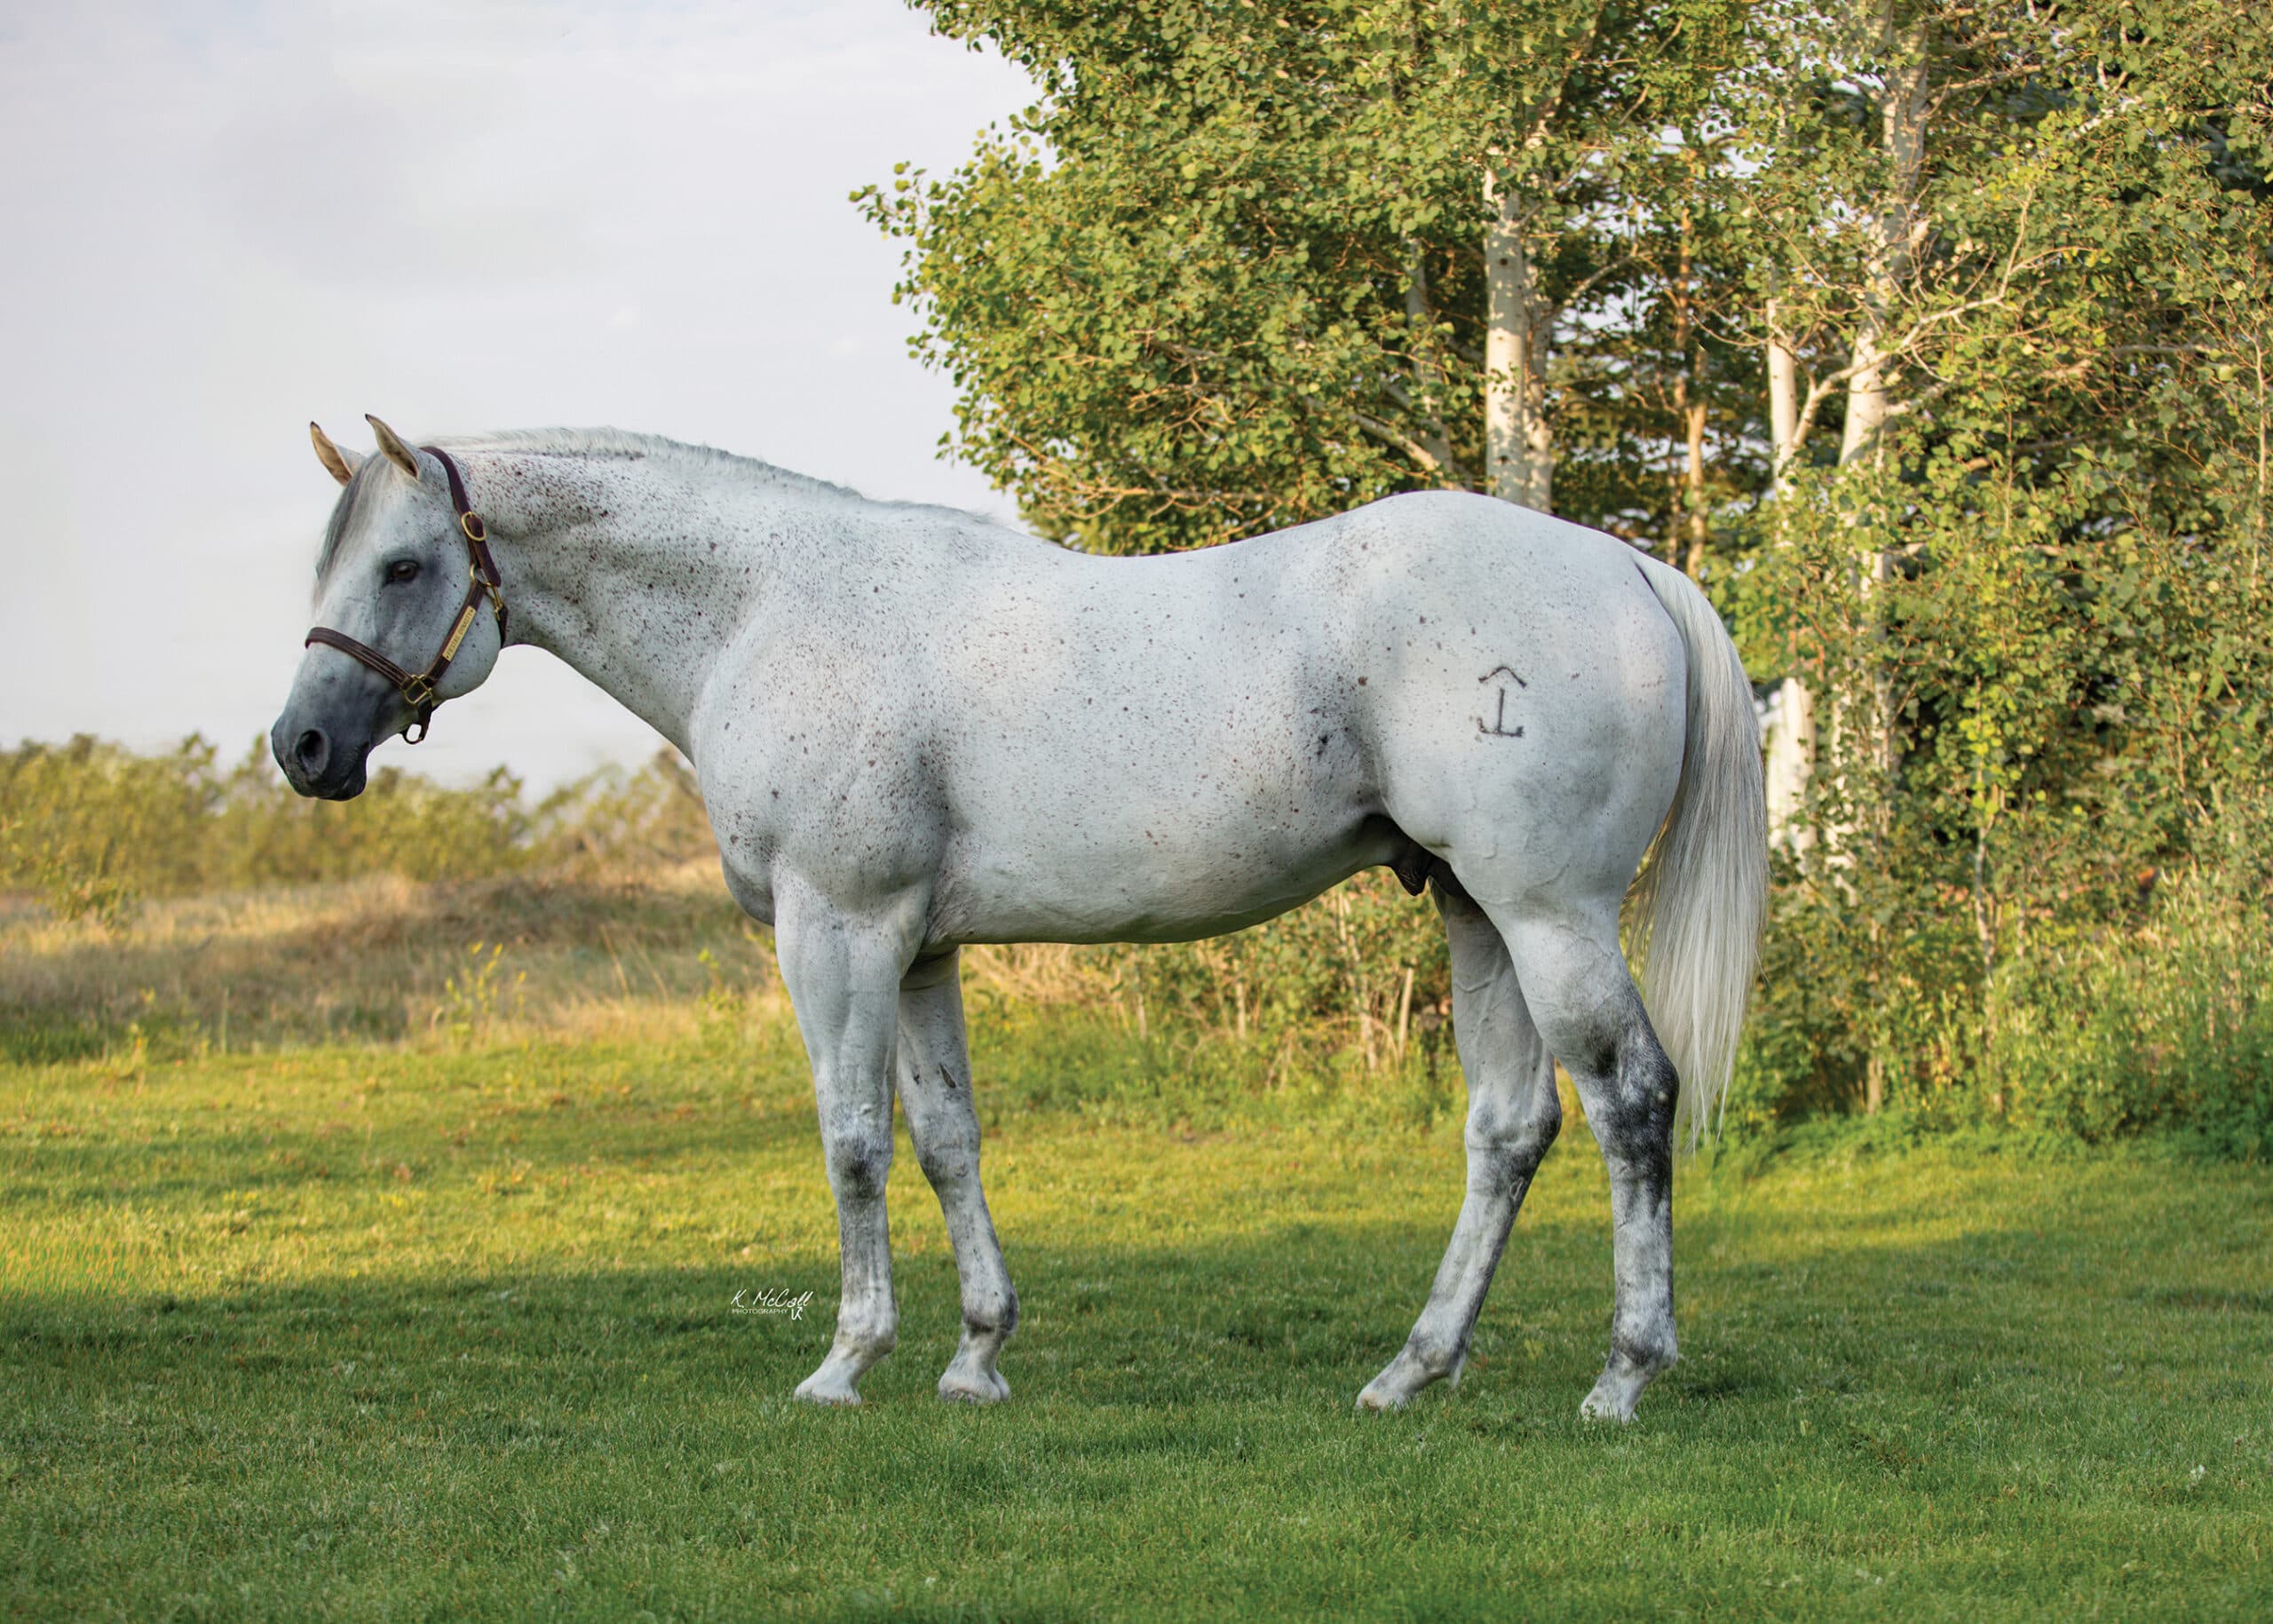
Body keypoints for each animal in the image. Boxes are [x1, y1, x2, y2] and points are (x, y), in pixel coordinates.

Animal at [272, 417, 1766, 1420]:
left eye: (401, 567)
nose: (300, 746)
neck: (771, 612)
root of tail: (1627, 570)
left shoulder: (837, 930)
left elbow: (855, 1143)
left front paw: (845, 1363)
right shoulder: (920, 947)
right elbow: (946, 1142)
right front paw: (975, 1356)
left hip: (1548, 913)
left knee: (1633, 1100)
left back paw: (1624, 1376)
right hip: (1475, 911)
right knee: (1509, 1129)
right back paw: (1412, 1369)